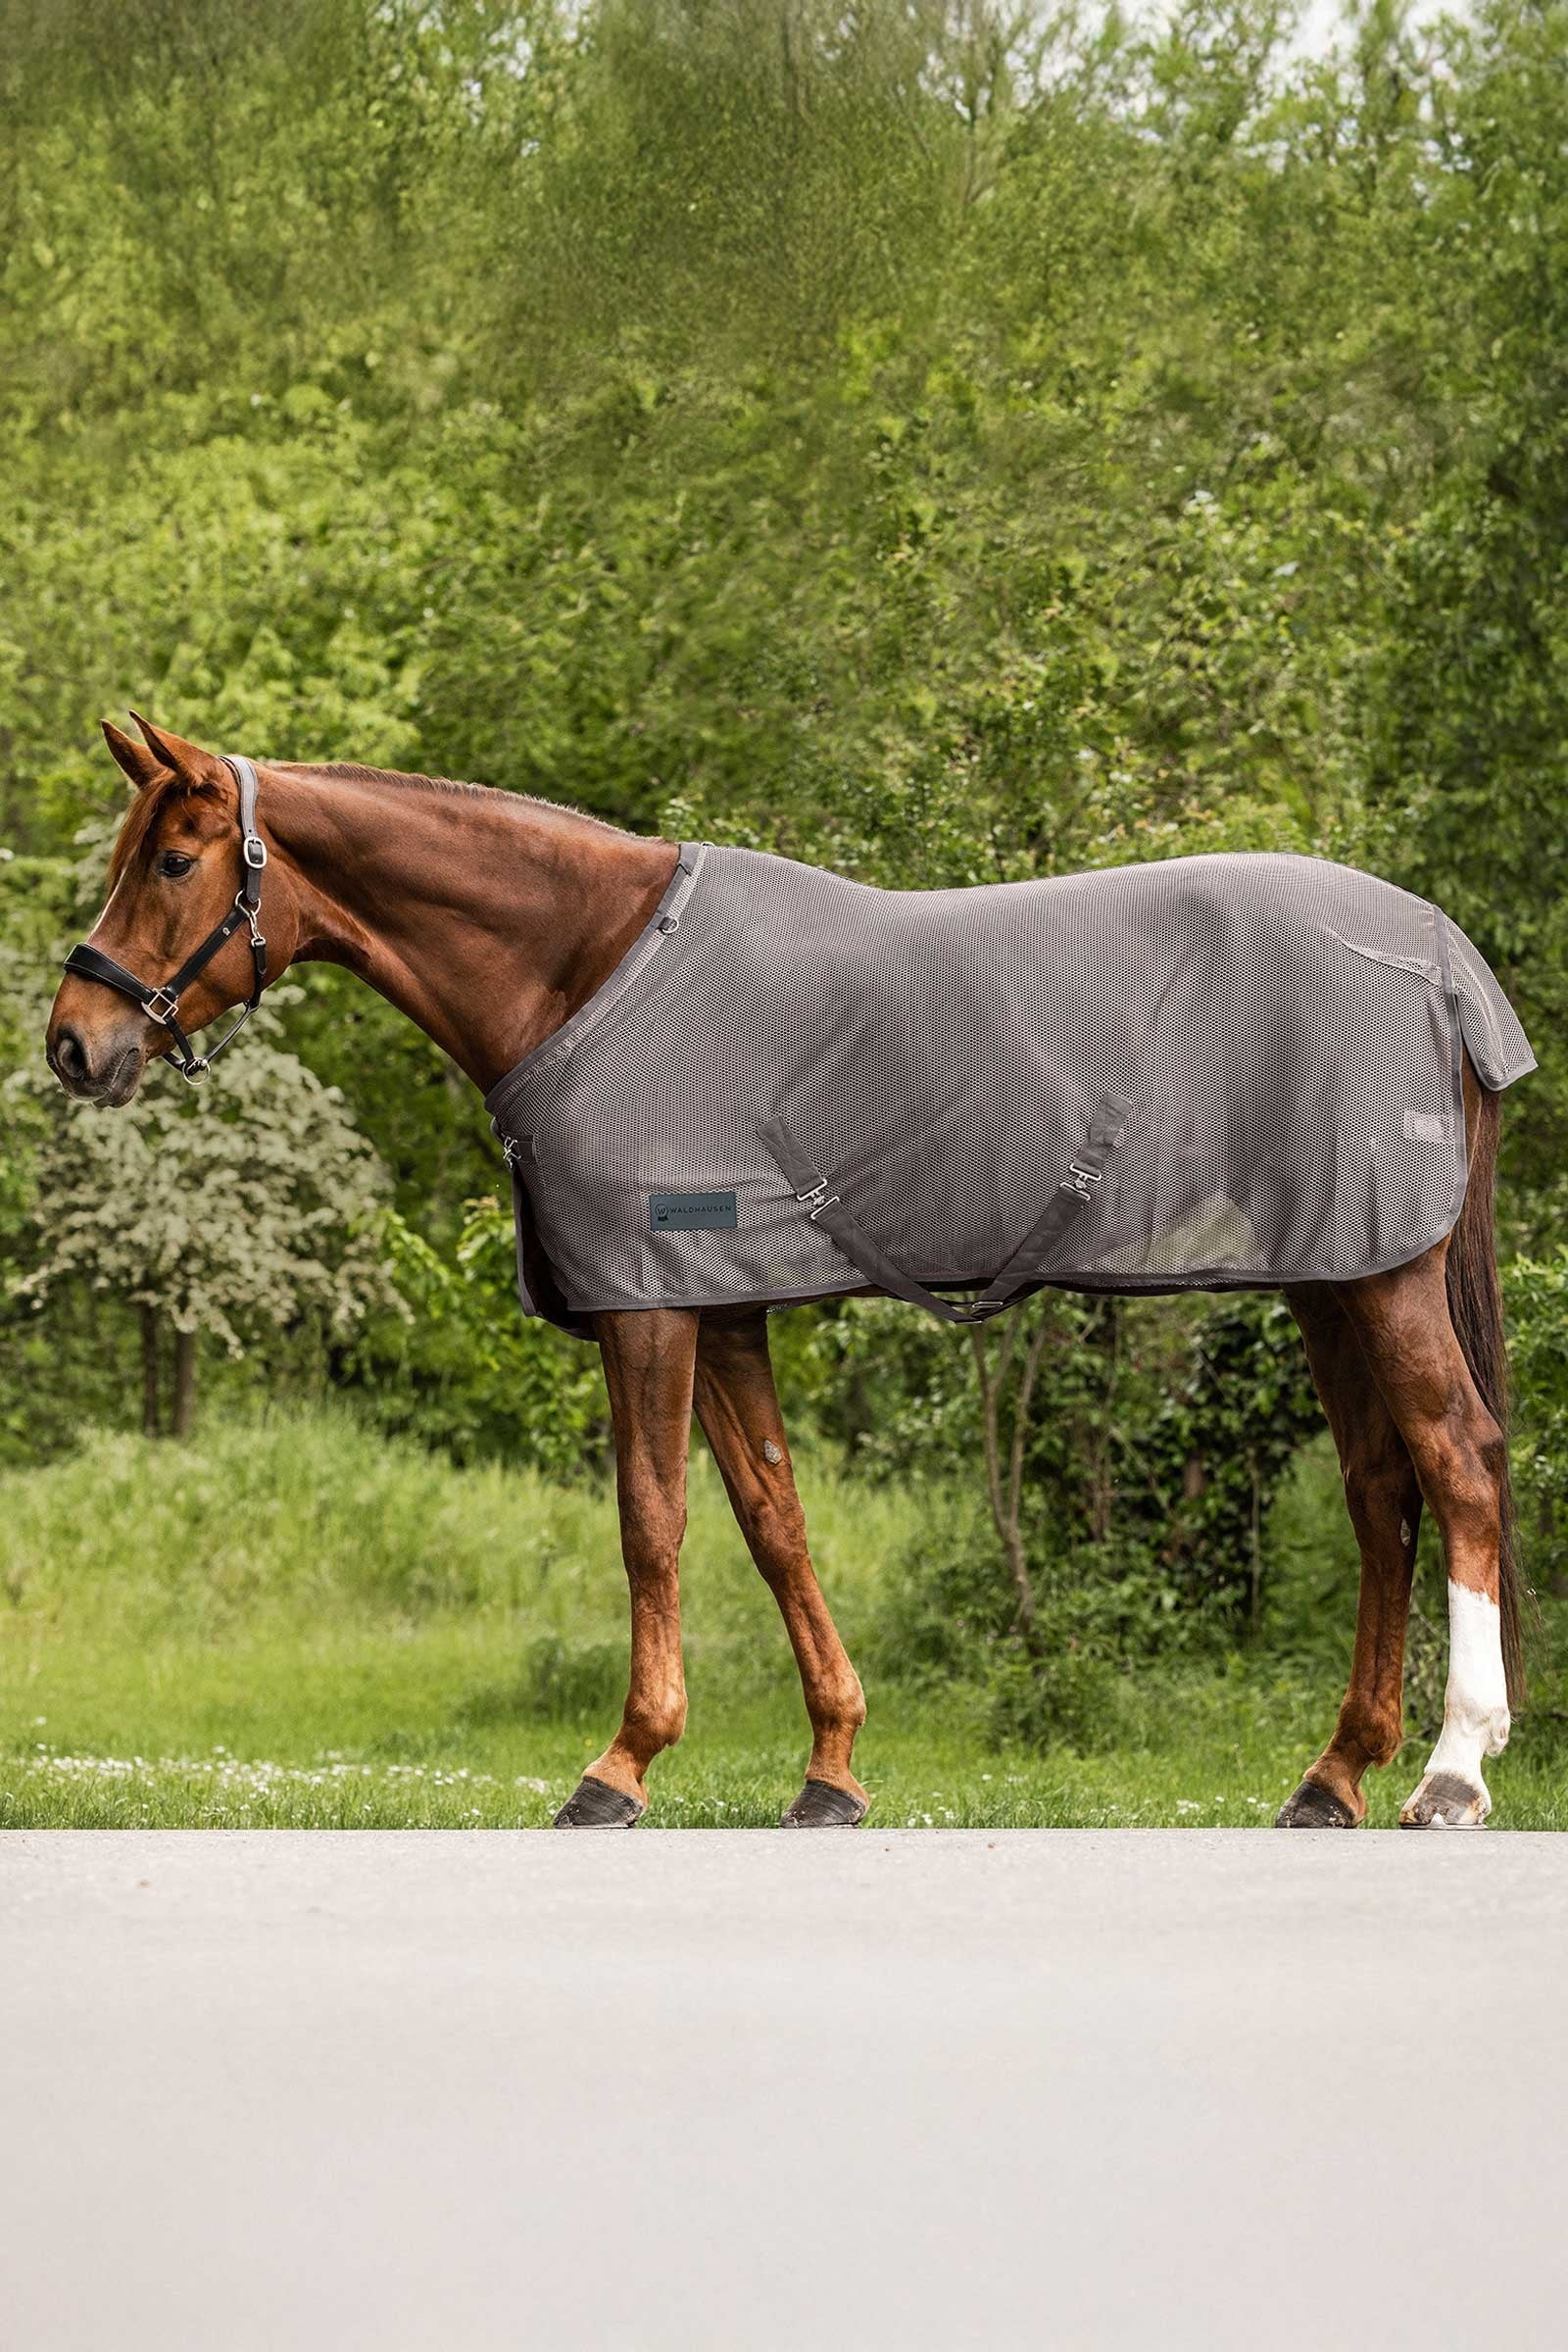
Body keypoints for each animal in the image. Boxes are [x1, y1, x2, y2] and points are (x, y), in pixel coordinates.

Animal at [45, 714, 1527, 1831]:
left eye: (173, 858)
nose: (72, 1042)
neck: (590, 967)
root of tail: (1444, 960)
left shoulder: (649, 1303)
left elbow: (652, 1522)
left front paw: (621, 1765)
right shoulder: (726, 1306)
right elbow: (774, 1521)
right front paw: (831, 1769)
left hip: (1383, 1276)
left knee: (1455, 1461)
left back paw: (1452, 1770)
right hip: (1335, 1272)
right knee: (1380, 1489)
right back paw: (1334, 1776)